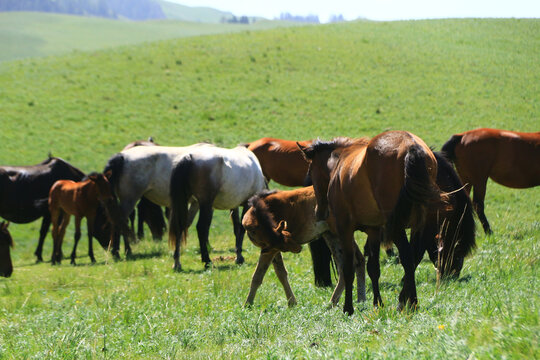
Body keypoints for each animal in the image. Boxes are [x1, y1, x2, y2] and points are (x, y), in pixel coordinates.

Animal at [298, 132, 446, 316]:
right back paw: (408, 301)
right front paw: (378, 303)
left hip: (397, 227)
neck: (340, 163)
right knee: (412, 258)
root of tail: (411, 145)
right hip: (417, 224)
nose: (319, 212)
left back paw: (410, 303)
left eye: (310, 171)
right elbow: (373, 269)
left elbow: (349, 268)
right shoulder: (374, 230)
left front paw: (348, 308)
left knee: (406, 258)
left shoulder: (345, 229)